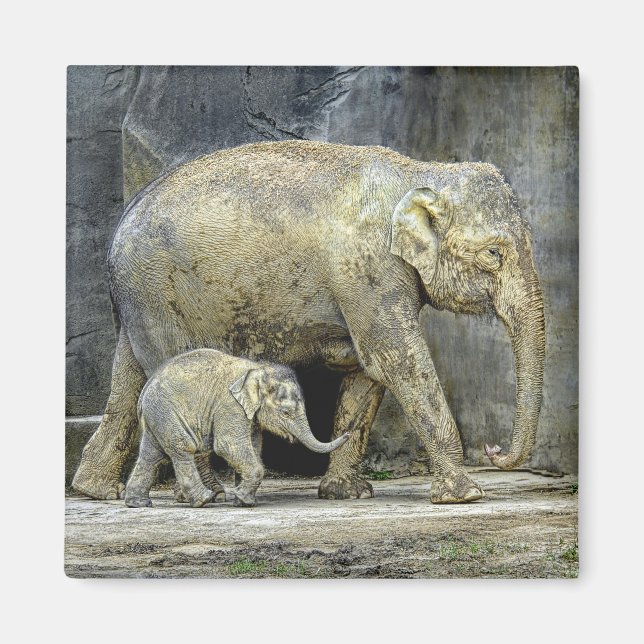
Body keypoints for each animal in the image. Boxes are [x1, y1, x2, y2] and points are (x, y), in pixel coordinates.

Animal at [124, 349, 349, 508]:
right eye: (286, 413)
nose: (347, 433)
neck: (259, 369)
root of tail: (145, 390)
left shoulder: (250, 414)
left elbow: (254, 447)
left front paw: (242, 499)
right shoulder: (230, 405)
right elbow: (228, 445)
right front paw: (243, 499)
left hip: (157, 418)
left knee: (151, 455)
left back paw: (138, 503)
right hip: (166, 413)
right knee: (183, 449)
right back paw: (204, 500)